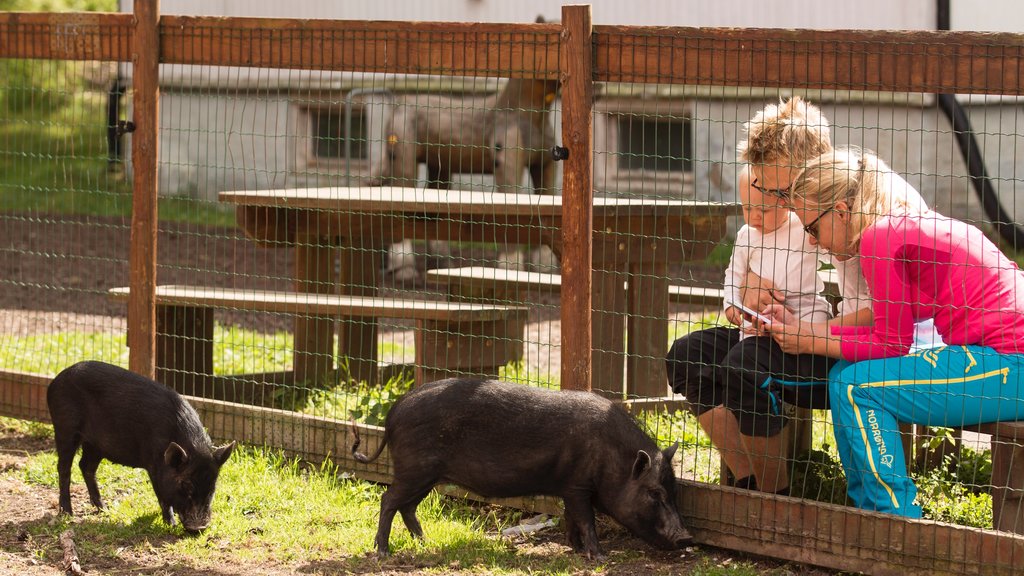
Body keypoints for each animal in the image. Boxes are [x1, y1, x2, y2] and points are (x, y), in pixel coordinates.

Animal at [46, 360, 234, 532]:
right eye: (186, 484)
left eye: (212, 486)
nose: (199, 528)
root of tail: (56, 380)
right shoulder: (154, 465)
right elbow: (162, 496)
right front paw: (171, 525)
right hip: (65, 428)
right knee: (64, 468)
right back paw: (67, 513)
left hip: (95, 444)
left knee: (85, 466)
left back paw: (104, 509)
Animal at [348, 377, 692, 557]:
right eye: (654, 492)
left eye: (674, 490)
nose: (687, 538)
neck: (612, 458)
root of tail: (393, 413)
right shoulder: (577, 486)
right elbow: (586, 518)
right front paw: (597, 555)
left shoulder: (569, 488)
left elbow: (572, 518)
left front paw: (575, 548)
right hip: (414, 469)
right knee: (389, 499)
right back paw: (383, 552)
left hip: (426, 475)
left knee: (407, 506)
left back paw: (425, 542)